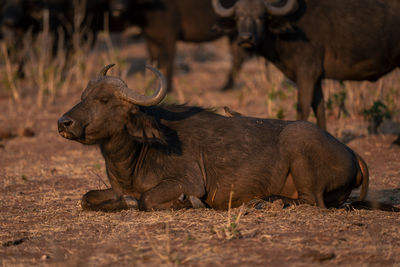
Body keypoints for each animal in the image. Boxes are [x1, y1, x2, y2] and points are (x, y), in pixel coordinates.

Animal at [57, 64, 368, 211]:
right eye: (83, 97)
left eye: (105, 100)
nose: (64, 122)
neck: (134, 154)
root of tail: (351, 153)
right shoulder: (115, 189)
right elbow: (86, 198)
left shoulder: (188, 181)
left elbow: (145, 199)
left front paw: (185, 203)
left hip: (299, 142)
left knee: (310, 200)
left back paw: (269, 201)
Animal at [109, 0, 247, 91]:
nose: (118, 8)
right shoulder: (151, 39)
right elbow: (155, 63)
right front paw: (153, 86)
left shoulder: (170, 38)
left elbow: (168, 63)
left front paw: (168, 89)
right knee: (238, 57)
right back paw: (227, 85)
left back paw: (226, 86)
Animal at [214, 0, 400, 130]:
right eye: (238, 17)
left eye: (261, 17)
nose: (246, 38)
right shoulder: (316, 79)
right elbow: (320, 109)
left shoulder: (306, 74)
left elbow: (302, 108)